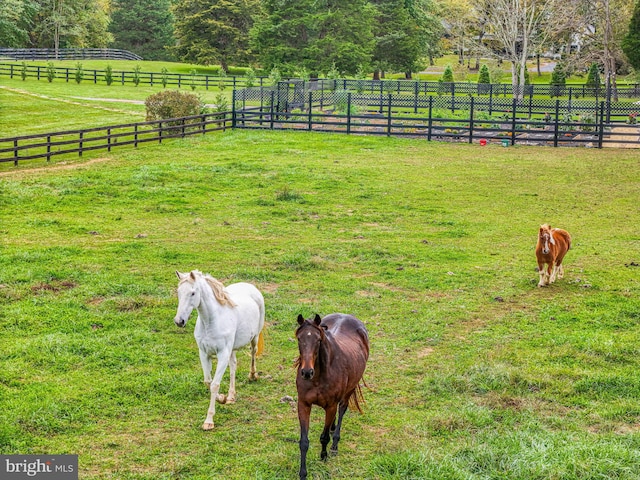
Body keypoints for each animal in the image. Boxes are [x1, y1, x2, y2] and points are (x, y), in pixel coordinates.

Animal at [172, 270, 264, 432]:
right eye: (178, 292)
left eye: (193, 293)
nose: (179, 321)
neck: (210, 322)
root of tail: (250, 286)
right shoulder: (204, 353)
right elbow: (208, 382)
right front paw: (223, 398)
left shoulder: (222, 355)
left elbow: (215, 385)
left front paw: (209, 421)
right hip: (231, 349)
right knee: (233, 365)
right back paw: (231, 396)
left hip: (254, 337)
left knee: (253, 352)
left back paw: (253, 376)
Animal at [296, 314, 370, 478]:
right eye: (299, 338)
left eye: (318, 340)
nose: (306, 372)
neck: (318, 378)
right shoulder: (303, 404)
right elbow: (304, 442)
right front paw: (303, 473)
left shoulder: (330, 406)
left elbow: (324, 437)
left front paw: (324, 456)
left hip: (350, 390)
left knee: (342, 409)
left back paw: (335, 444)